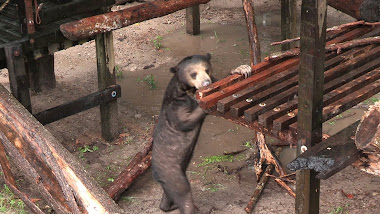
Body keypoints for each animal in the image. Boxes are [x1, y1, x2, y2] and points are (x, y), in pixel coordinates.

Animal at [151, 54, 252, 214]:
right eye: (193, 74)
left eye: (207, 70)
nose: (206, 83)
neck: (189, 90)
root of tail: (155, 174)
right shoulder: (175, 105)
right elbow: (185, 121)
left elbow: (220, 83)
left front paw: (242, 69)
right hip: (171, 172)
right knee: (183, 192)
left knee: (168, 193)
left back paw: (168, 206)